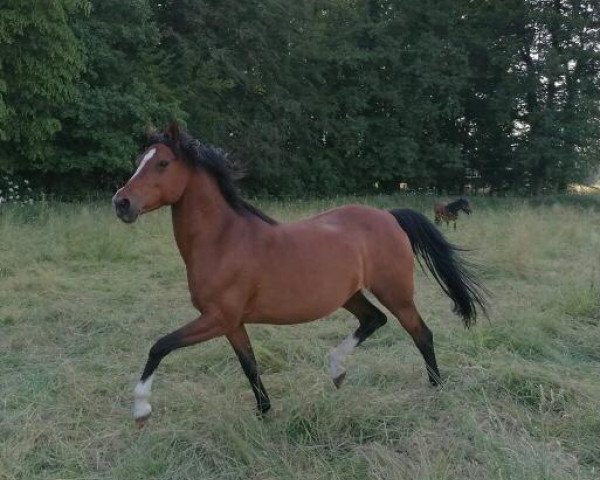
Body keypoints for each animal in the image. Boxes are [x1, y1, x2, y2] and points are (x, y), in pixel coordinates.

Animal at [112, 124, 488, 428]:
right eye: (138, 159)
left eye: (163, 163)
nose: (121, 203)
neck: (223, 240)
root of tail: (389, 216)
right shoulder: (231, 324)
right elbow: (250, 366)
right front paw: (264, 412)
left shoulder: (216, 318)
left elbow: (160, 346)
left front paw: (141, 410)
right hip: (349, 295)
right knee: (374, 320)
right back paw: (337, 370)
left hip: (396, 292)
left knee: (420, 333)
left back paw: (435, 388)